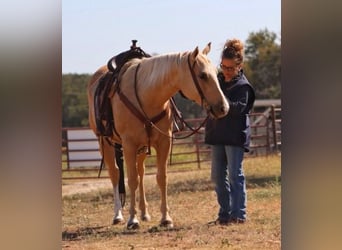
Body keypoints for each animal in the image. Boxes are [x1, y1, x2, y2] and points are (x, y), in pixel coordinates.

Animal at [87, 43, 228, 229]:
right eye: (203, 75)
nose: (223, 108)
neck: (147, 96)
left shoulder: (164, 143)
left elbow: (161, 178)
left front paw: (165, 218)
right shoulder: (129, 144)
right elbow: (131, 179)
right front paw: (132, 220)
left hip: (140, 149)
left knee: (140, 172)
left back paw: (144, 213)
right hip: (105, 142)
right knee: (115, 173)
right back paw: (118, 215)